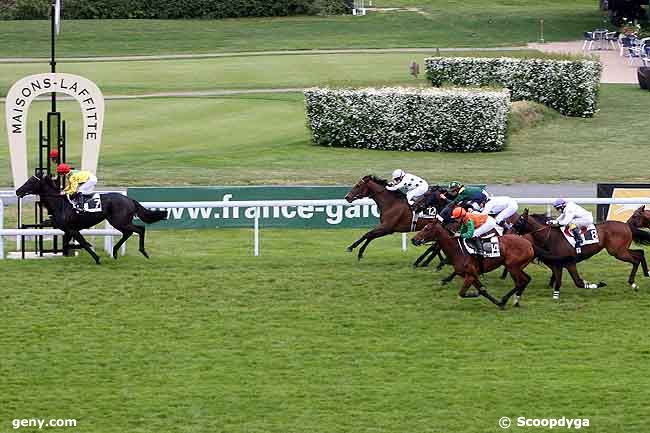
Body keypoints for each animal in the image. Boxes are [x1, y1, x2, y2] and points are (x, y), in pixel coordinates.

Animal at [412, 219, 540, 308]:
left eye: (427, 229)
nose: (413, 240)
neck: (458, 250)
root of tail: (528, 243)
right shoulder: (472, 275)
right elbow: (481, 290)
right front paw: (496, 302)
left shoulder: (470, 275)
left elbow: (464, 293)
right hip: (517, 267)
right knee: (526, 279)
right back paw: (515, 300)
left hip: (512, 267)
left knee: (520, 282)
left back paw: (506, 299)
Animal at [512, 207, 644, 296]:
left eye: (519, 221)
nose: (510, 231)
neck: (551, 237)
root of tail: (626, 225)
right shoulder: (557, 263)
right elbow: (558, 280)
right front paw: (555, 295)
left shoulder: (570, 262)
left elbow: (578, 282)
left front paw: (595, 284)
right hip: (621, 250)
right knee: (639, 253)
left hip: (617, 251)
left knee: (635, 260)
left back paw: (633, 283)